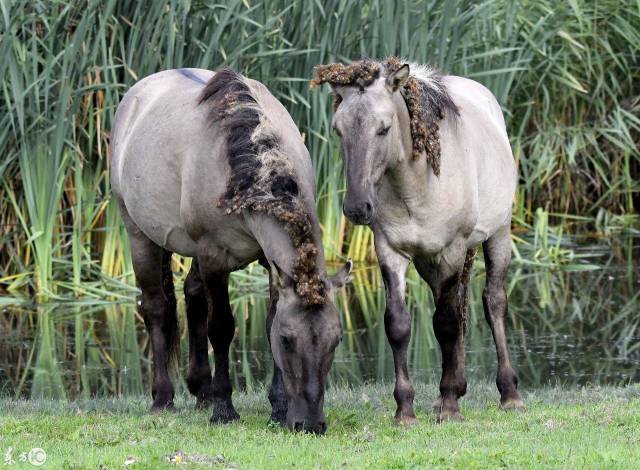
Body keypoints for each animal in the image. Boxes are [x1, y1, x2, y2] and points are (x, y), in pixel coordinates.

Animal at [109, 66, 350, 434]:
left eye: (335, 340)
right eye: (288, 341)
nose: (310, 424)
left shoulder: (270, 264)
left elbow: (266, 320)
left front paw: (278, 407)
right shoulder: (214, 257)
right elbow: (221, 327)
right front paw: (224, 408)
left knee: (193, 297)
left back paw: (201, 389)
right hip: (139, 235)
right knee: (156, 309)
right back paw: (163, 398)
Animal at [312, 57, 524, 422]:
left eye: (383, 129)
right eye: (339, 130)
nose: (357, 208)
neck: (417, 184)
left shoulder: (453, 248)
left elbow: (447, 323)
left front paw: (450, 406)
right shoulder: (390, 252)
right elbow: (399, 325)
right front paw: (406, 409)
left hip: (498, 234)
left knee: (492, 302)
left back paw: (508, 393)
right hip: (431, 262)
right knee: (456, 304)